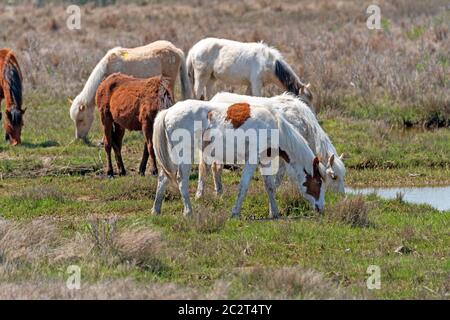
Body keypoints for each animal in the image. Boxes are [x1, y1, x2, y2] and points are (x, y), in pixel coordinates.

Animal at [153, 99, 326, 218]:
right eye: (318, 182)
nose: (322, 208)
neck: (274, 126)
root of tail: (168, 111)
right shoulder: (252, 161)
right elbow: (243, 186)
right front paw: (235, 212)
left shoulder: (265, 162)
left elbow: (269, 186)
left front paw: (274, 212)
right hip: (184, 156)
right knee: (181, 181)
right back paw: (188, 211)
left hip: (172, 158)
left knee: (162, 179)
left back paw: (156, 209)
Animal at [195, 92, 346, 198]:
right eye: (334, 177)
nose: (341, 196)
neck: (305, 124)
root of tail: (214, 98)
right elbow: (280, 174)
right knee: (204, 168)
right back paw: (200, 194)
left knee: (216, 168)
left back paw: (219, 192)